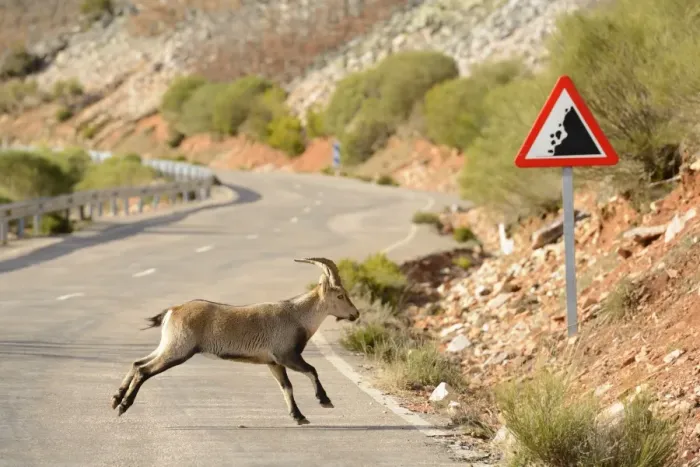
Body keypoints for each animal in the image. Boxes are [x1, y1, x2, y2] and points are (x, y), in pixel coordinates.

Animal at [110, 257, 360, 425]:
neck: (297, 315)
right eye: (340, 295)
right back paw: (123, 406)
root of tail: (173, 310)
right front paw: (324, 400)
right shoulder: (287, 355)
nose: (355, 314)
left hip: (168, 346)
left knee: (137, 363)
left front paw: (298, 416)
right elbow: (312, 370)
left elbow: (286, 387)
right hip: (178, 349)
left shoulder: (273, 363)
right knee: (144, 370)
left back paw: (116, 399)